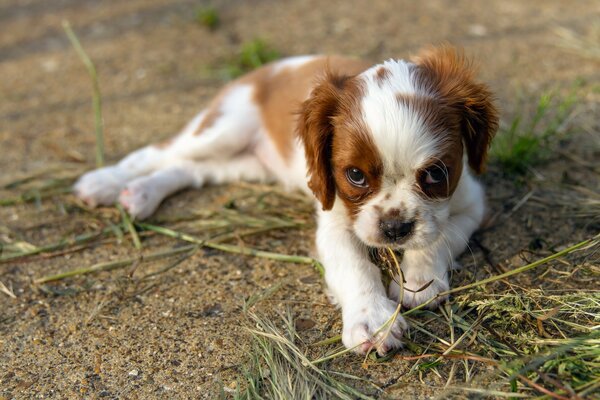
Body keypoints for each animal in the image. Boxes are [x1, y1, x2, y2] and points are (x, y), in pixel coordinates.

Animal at [74, 47, 496, 356]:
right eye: (355, 176)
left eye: (435, 174)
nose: (395, 229)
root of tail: (260, 71)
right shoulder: (334, 220)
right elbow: (355, 266)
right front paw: (373, 320)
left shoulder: (471, 202)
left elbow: (440, 236)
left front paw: (420, 280)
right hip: (224, 128)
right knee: (156, 153)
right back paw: (105, 183)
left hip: (245, 164)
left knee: (188, 170)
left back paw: (141, 195)